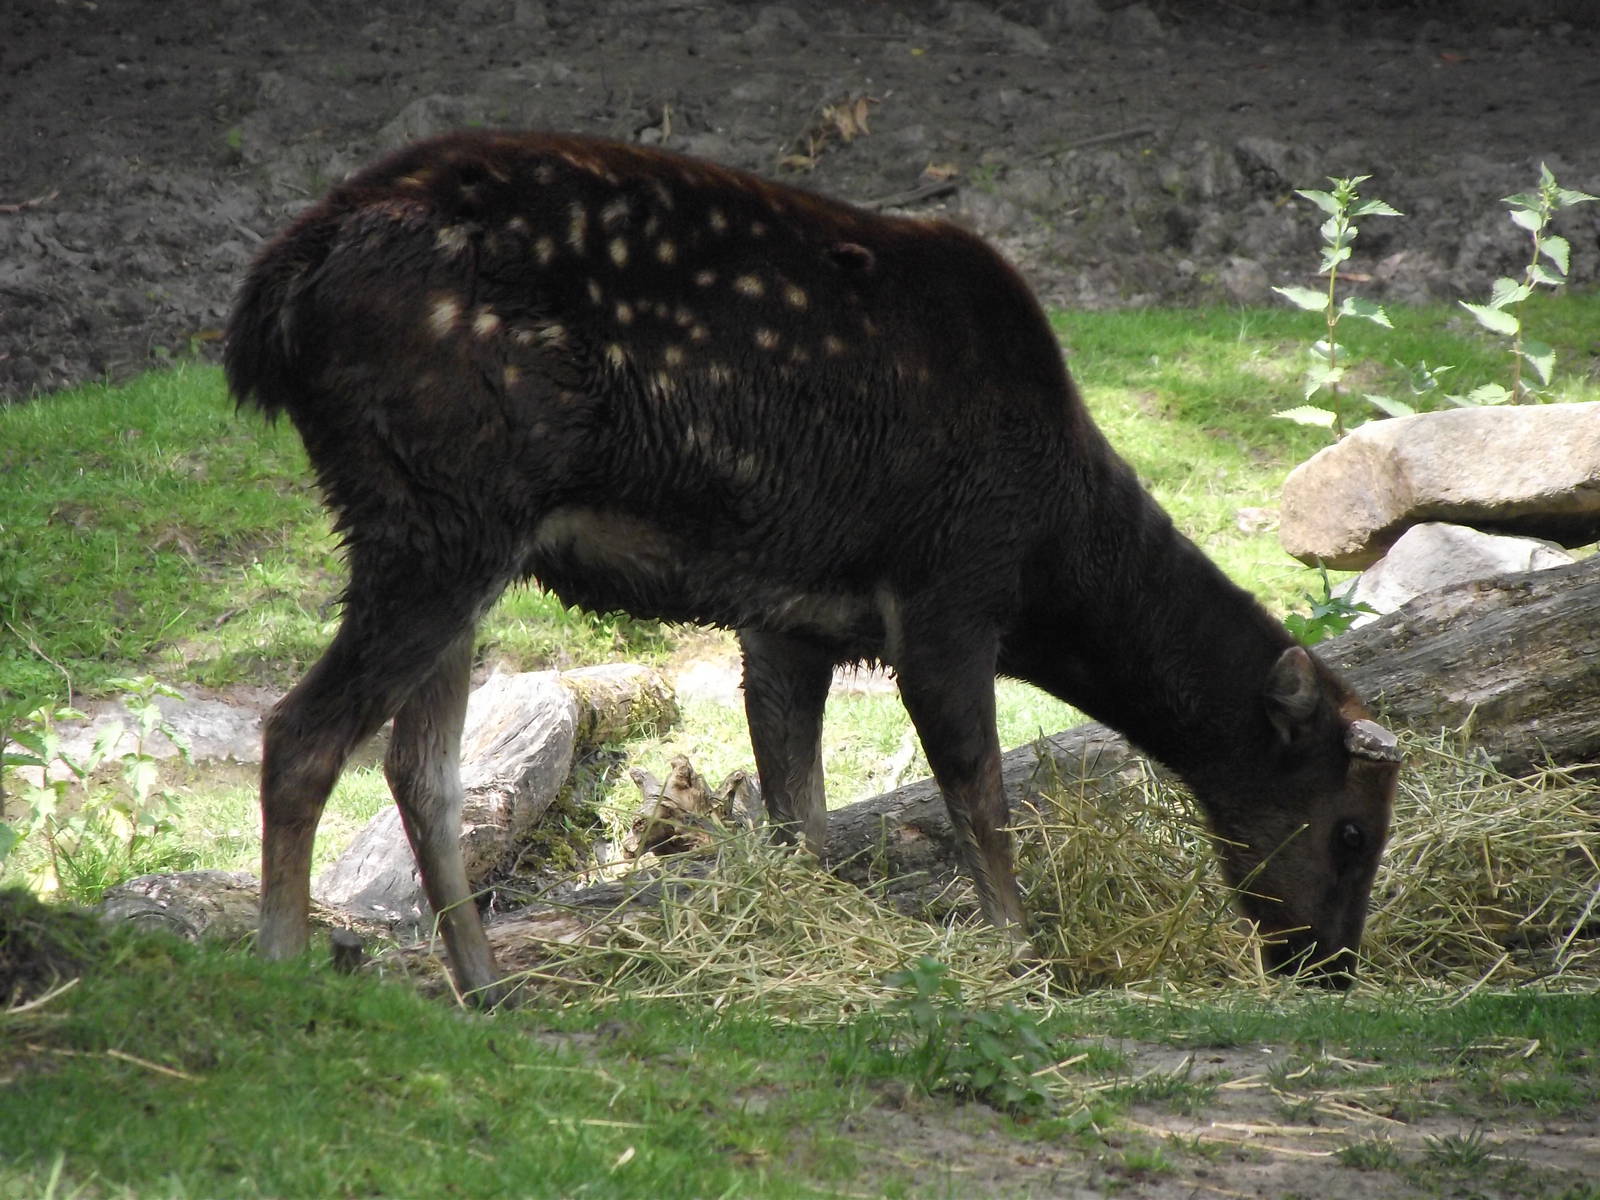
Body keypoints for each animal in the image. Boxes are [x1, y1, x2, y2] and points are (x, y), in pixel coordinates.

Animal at [225, 130, 1401, 1005]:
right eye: (1351, 829)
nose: (1333, 969)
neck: (1052, 561)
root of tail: (274, 300)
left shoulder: (786, 618)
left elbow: (803, 813)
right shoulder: (948, 588)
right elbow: (977, 797)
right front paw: (1025, 961)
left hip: (454, 534)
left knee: (417, 767)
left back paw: (485, 990)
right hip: (439, 513)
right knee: (301, 733)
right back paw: (279, 971)